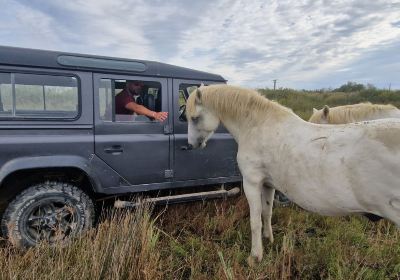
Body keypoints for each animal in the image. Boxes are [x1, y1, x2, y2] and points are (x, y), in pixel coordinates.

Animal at [186, 84, 400, 264]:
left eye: (194, 118)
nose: (192, 144)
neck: (258, 126)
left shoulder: (251, 183)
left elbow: (255, 221)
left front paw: (255, 256)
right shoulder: (268, 184)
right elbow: (267, 212)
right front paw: (269, 239)